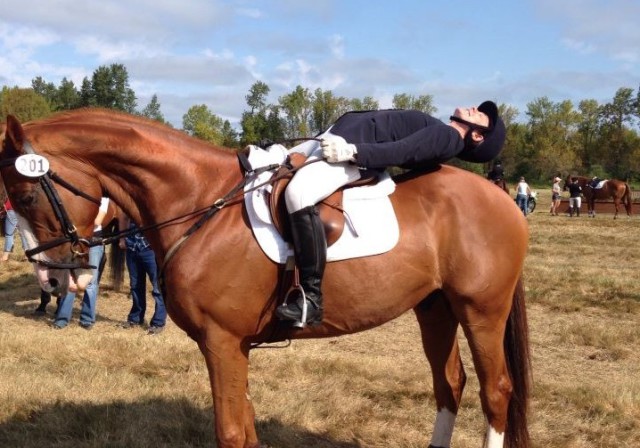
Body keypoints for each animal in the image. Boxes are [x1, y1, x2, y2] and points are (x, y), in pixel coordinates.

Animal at [0, 111, 528, 448]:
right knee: (450, 384)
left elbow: (232, 432)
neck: (200, 199)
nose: (50, 280)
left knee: (496, 390)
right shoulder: (233, 347)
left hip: (481, 309)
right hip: (435, 307)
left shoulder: (222, 341)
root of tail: (500, 197)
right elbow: (247, 428)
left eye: (25, 196)